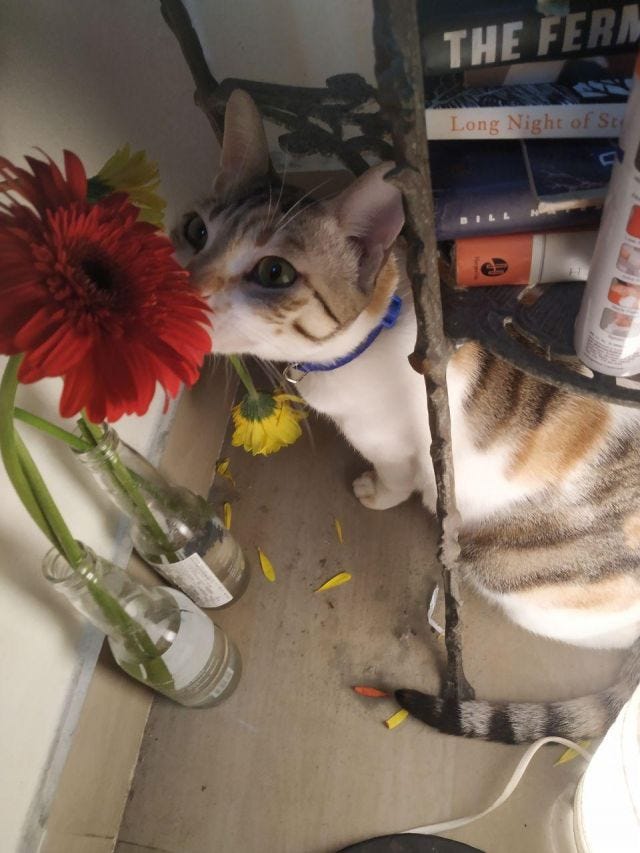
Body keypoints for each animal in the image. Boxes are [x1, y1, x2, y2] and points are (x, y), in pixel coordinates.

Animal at [174, 90, 640, 744]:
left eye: (274, 273)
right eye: (195, 231)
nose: (184, 287)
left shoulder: (392, 442)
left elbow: (393, 474)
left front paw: (376, 492)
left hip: (501, 564)